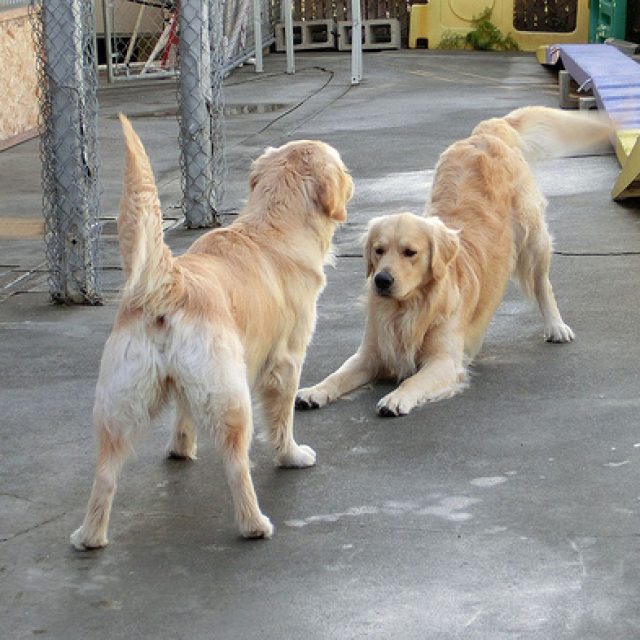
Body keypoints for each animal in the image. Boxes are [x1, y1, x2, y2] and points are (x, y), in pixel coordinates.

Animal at [70, 116, 352, 549]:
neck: (271, 228)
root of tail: (170, 282)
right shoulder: (286, 359)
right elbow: (283, 416)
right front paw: (290, 455)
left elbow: (183, 414)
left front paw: (181, 449)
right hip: (231, 397)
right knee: (237, 465)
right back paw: (255, 524)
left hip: (118, 404)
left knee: (104, 472)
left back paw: (90, 536)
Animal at [296, 106, 612, 417]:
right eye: (378, 250)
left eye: (410, 252)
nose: (382, 281)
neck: (408, 309)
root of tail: (486, 132)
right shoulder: (370, 353)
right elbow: (338, 375)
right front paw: (314, 391)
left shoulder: (443, 360)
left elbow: (413, 379)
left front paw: (396, 398)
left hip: (532, 237)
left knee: (542, 283)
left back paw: (556, 326)